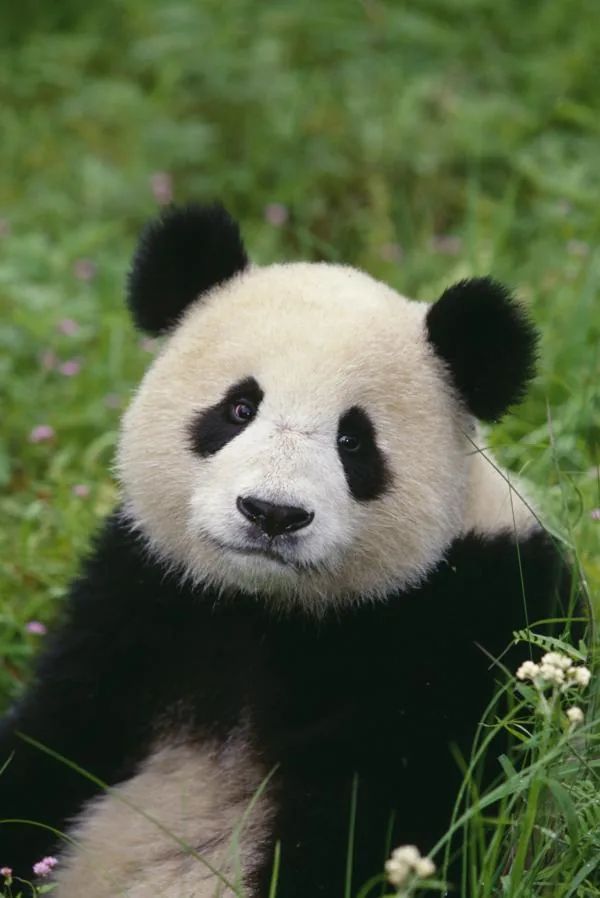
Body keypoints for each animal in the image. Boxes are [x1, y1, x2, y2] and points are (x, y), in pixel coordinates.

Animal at [0, 202, 579, 897]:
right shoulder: (144, 597)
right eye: (238, 407)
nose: (272, 513)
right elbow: (55, 742)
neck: (269, 608)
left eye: (354, 441)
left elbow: (385, 818)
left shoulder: (465, 623)